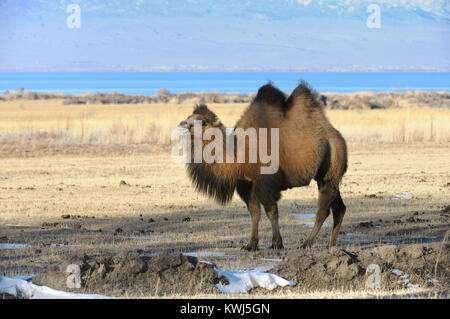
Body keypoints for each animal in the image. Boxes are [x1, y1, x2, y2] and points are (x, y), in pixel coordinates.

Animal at [178, 82, 346, 252]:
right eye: (188, 118)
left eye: (203, 122)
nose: (183, 124)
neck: (238, 154)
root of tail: (337, 136)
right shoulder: (247, 183)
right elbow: (254, 212)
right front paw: (251, 244)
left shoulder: (265, 182)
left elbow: (271, 211)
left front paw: (277, 243)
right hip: (326, 177)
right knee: (339, 208)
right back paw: (331, 245)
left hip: (330, 169)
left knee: (323, 209)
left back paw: (306, 243)